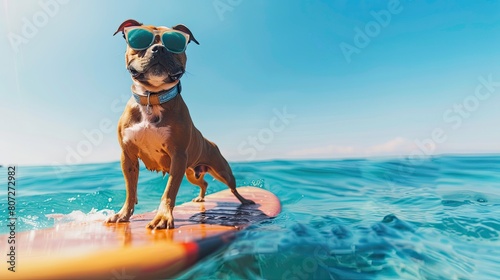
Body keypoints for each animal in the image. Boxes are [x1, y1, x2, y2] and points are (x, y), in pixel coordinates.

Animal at [105, 19, 254, 230]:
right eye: (139, 38)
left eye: (175, 42)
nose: (159, 48)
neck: (152, 98)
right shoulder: (128, 156)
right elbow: (130, 190)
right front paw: (124, 214)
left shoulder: (178, 156)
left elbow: (169, 191)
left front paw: (163, 217)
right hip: (192, 173)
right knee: (204, 184)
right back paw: (200, 199)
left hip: (222, 171)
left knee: (233, 188)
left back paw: (245, 201)